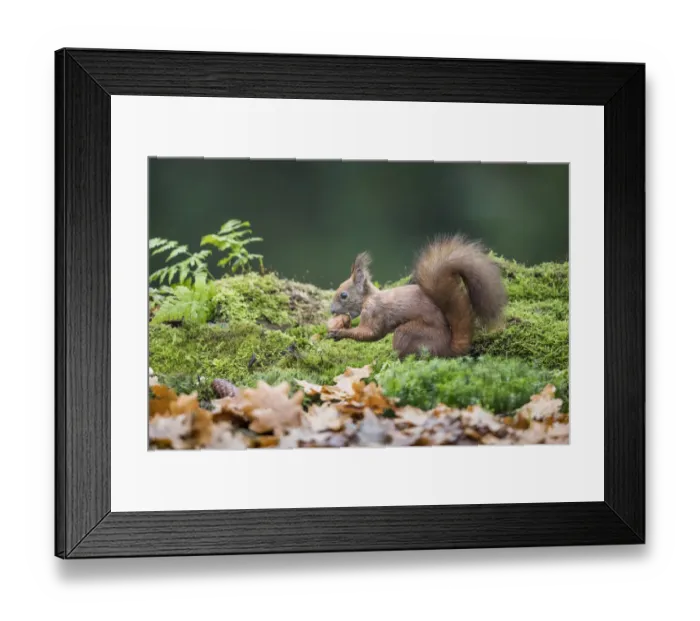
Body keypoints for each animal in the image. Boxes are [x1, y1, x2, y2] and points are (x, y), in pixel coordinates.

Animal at [328, 234, 508, 358]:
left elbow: (370, 333)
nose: (331, 310)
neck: (368, 298)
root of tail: (447, 348)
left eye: (343, 295)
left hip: (407, 333)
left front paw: (339, 332)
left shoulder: (374, 312)